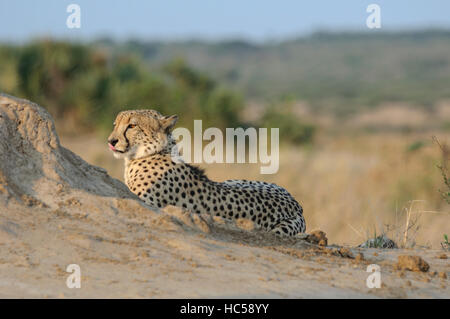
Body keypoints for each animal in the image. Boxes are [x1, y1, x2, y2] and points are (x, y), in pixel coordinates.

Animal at [108, 110, 306, 238]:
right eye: (115, 124)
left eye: (132, 125)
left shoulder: (147, 202)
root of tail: (296, 204)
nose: (111, 141)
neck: (154, 152)